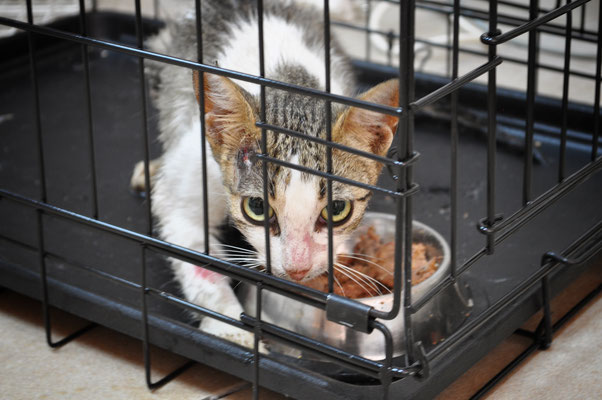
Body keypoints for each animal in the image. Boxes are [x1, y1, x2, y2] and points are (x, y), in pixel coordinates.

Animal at [142, 0, 398, 346]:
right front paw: (230, 329)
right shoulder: (194, 169)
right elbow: (194, 250)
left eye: (337, 209)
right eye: (257, 208)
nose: (297, 269)